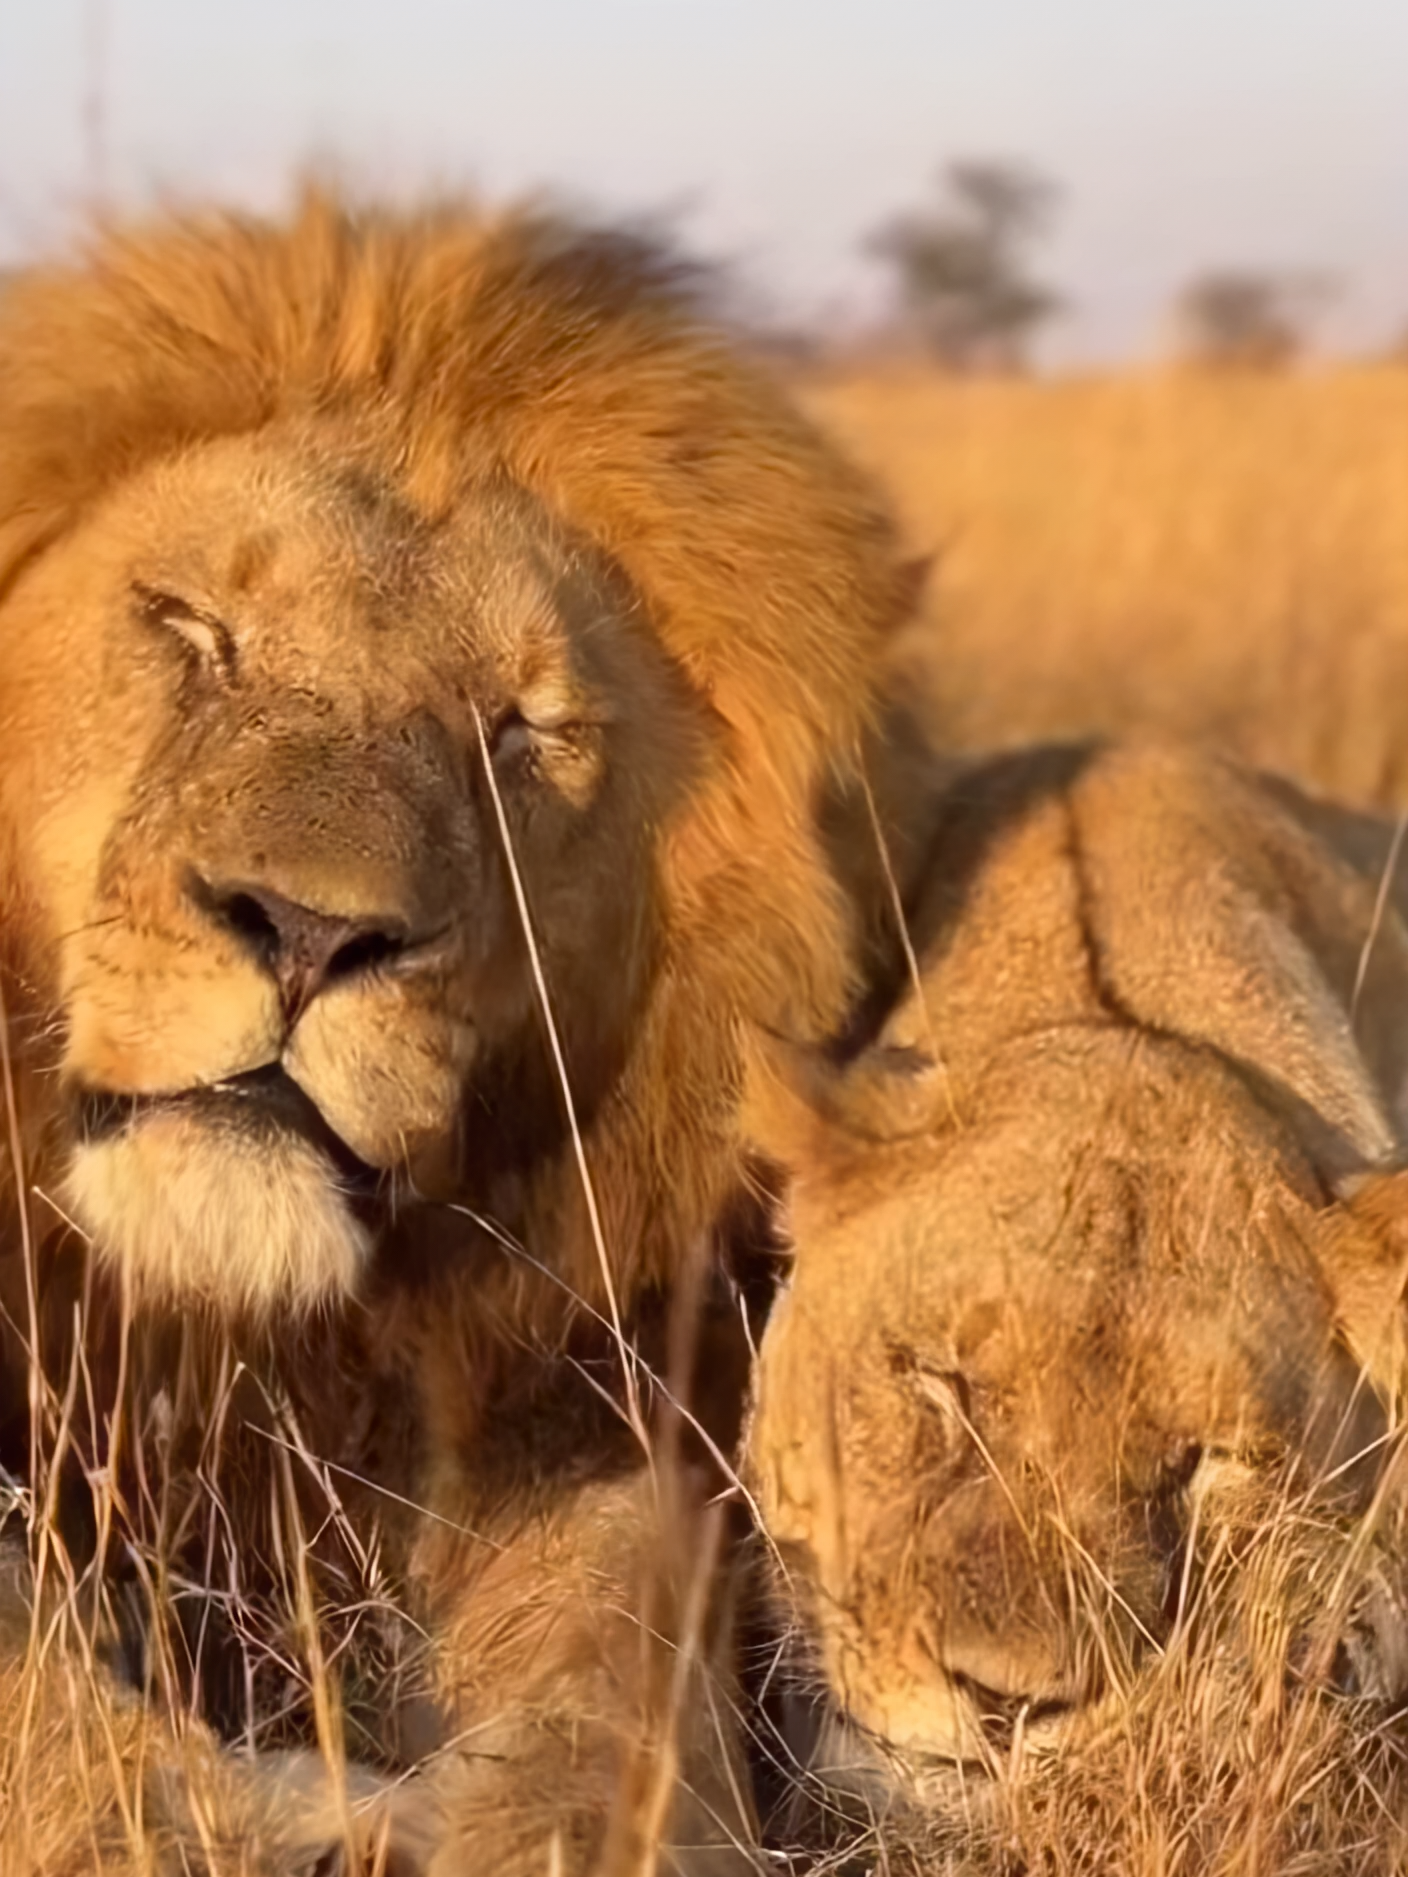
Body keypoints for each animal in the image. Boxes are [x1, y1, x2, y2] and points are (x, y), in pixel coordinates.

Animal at [0, 192, 913, 1873]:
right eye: (190, 627)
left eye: (521, 731)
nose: (309, 932)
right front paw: (233, 1811)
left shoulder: (568, 1421)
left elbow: (621, 1678)